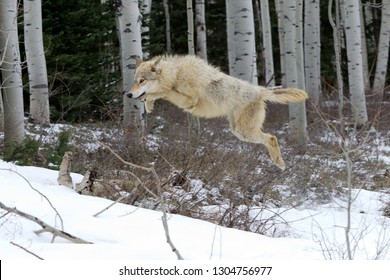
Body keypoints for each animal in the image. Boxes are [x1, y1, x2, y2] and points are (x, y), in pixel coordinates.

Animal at [128, 54, 308, 168]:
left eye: (142, 80)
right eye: (135, 81)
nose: (128, 94)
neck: (176, 75)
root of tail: (260, 90)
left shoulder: (189, 101)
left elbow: (163, 92)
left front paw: (149, 99)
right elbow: (158, 94)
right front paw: (149, 105)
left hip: (244, 131)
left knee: (272, 138)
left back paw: (280, 163)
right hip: (239, 132)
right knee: (270, 138)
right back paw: (278, 163)